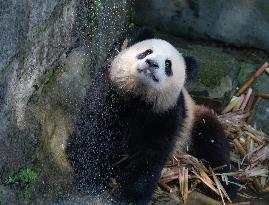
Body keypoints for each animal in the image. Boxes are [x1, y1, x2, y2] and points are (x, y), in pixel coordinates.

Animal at [66, 28, 237, 203]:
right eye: (146, 52)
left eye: (168, 64)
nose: (152, 63)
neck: (140, 97)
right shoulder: (110, 92)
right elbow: (96, 132)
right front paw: (92, 179)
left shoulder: (166, 114)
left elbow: (151, 154)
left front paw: (129, 196)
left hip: (194, 123)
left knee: (213, 142)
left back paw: (226, 186)